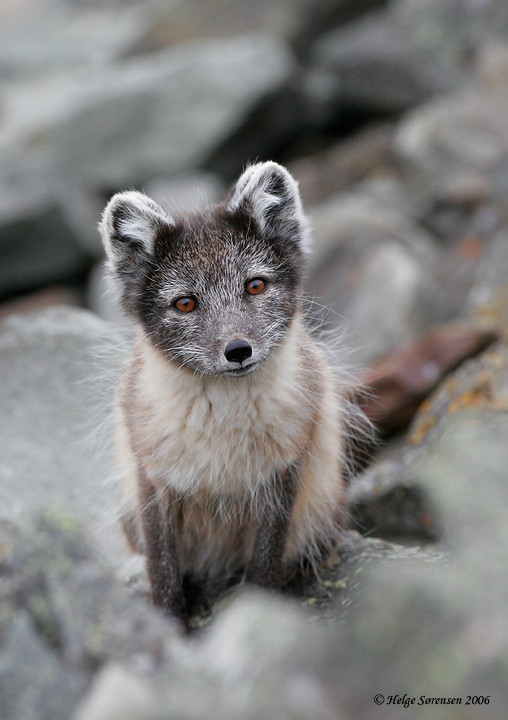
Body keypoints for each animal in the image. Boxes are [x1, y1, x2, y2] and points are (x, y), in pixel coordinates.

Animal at [100, 161, 355, 626]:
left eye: (255, 286)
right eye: (184, 303)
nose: (238, 350)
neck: (222, 424)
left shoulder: (283, 474)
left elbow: (266, 561)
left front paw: (259, 613)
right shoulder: (152, 479)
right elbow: (163, 570)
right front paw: (168, 625)